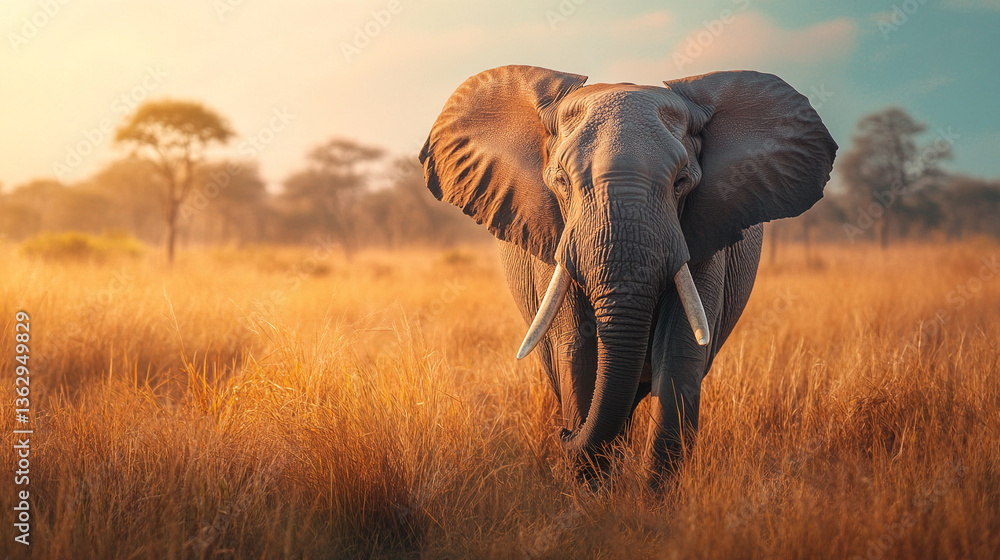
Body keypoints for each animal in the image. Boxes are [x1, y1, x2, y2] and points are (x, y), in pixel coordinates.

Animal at [419, 65, 836, 485]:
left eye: (681, 183)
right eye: (562, 182)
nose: (563, 433)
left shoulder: (705, 230)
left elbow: (680, 349)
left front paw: (654, 497)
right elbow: (576, 349)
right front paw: (591, 491)